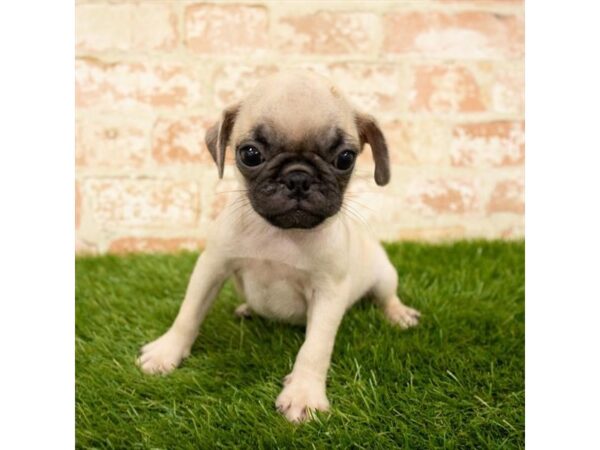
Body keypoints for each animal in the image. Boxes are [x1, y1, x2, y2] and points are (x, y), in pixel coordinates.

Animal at [138, 70, 420, 422]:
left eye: (345, 159)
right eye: (250, 154)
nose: (298, 177)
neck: (280, 235)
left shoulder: (329, 292)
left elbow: (315, 348)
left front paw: (303, 393)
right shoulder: (211, 267)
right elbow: (188, 314)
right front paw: (167, 352)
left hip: (383, 276)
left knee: (387, 297)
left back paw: (399, 315)